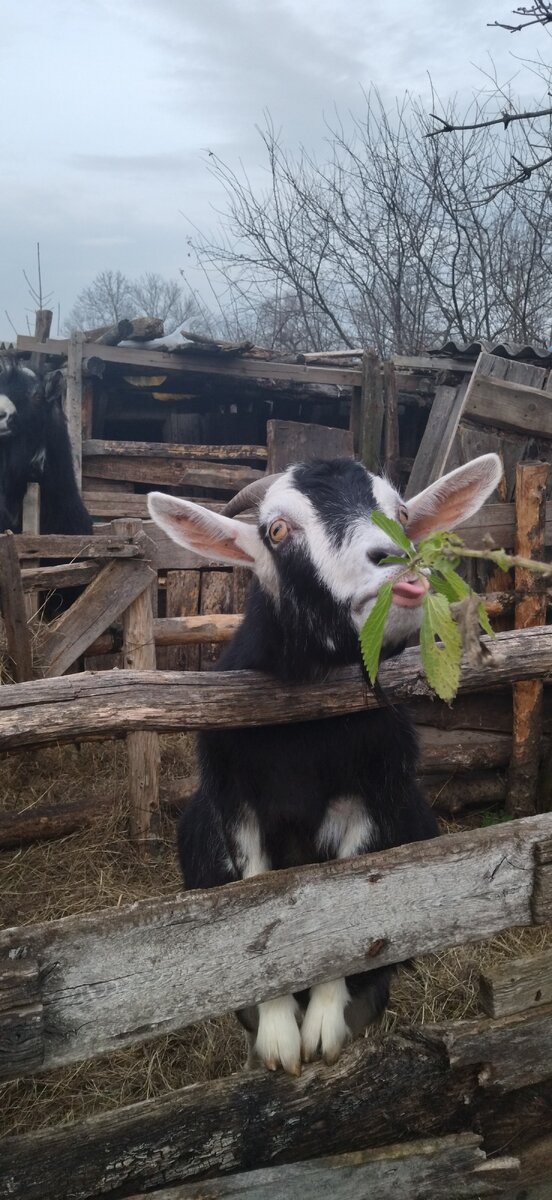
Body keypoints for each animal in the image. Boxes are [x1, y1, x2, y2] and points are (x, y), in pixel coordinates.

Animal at [148, 451, 501, 1080]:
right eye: (276, 530)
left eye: (402, 514)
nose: (399, 566)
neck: (304, 741)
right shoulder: (236, 806)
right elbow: (254, 909)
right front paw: (278, 1036)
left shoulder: (371, 801)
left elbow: (349, 907)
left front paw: (323, 1025)